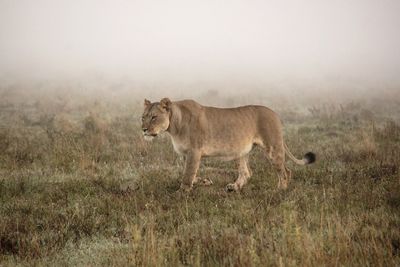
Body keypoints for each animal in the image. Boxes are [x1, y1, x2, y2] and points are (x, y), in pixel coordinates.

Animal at [141, 98, 316, 193]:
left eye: (154, 117)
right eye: (143, 117)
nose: (143, 129)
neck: (174, 126)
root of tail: (275, 114)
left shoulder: (194, 151)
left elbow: (187, 174)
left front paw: (181, 192)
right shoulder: (187, 154)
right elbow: (191, 173)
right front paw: (205, 182)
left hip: (273, 147)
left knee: (286, 171)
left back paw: (279, 190)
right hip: (240, 152)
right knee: (247, 172)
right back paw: (233, 187)